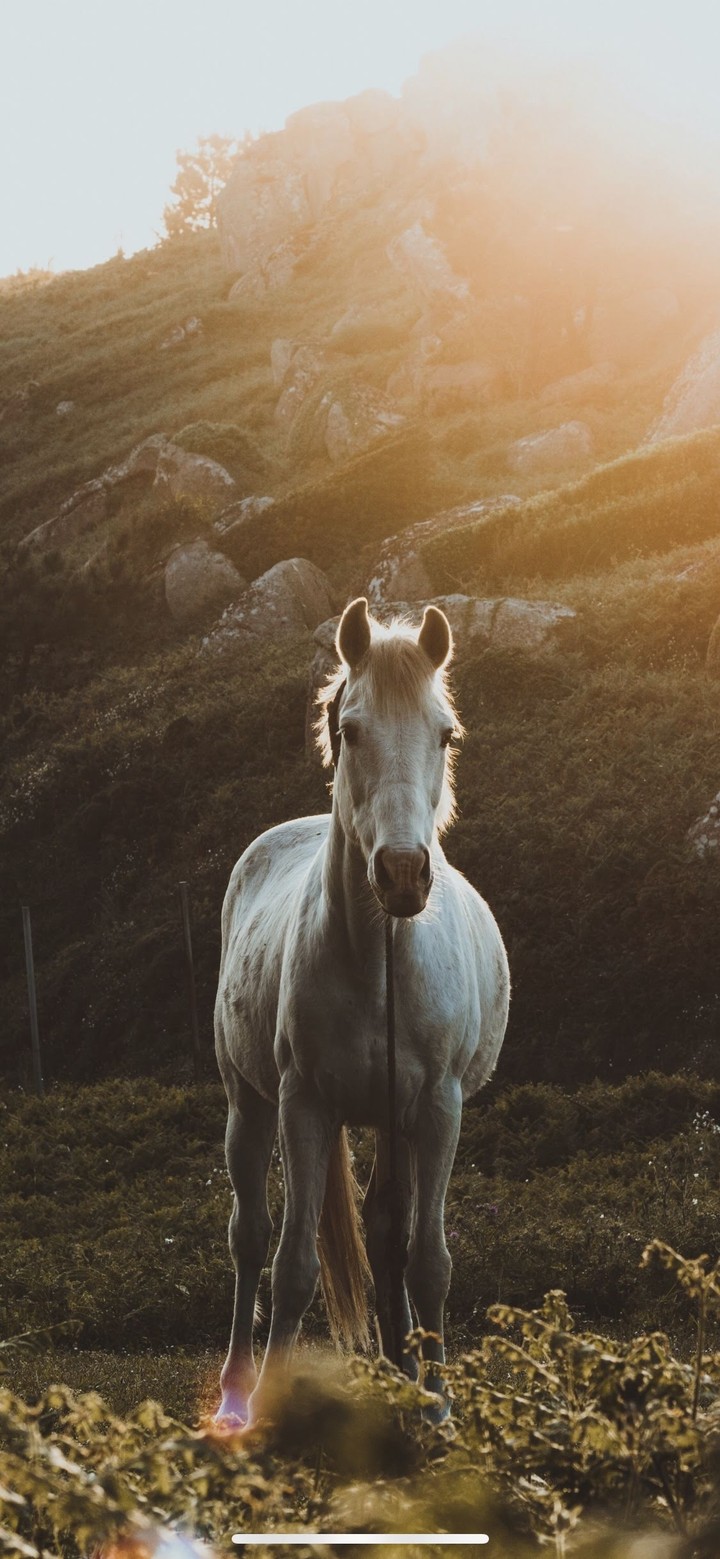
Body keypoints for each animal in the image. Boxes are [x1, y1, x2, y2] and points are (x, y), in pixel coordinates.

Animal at [213, 596, 510, 1425]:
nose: (404, 873)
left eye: (445, 732)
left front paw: (437, 1407)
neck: (380, 960)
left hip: (391, 1120)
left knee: (384, 1238)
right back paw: (235, 1392)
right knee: (250, 1238)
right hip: (248, 1103)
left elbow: (427, 1260)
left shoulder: (437, 1108)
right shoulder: (304, 1104)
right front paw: (269, 1413)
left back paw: (400, 1375)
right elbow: (292, 1266)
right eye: (350, 730)